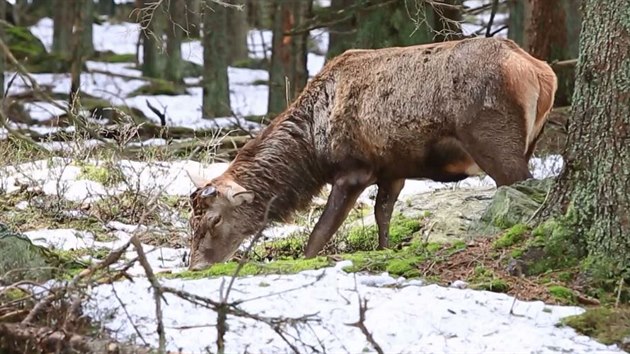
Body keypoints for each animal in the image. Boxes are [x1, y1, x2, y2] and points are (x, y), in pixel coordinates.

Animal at [186, 36, 556, 272]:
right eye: (191, 221)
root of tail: (541, 72)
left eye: (214, 219)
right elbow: (383, 216)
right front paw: (384, 251)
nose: (195, 266)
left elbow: (321, 232)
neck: (313, 147)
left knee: (520, 187)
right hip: (529, 142)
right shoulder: (393, 170)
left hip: (494, 142)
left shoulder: (354, 169)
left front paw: (307, 260)